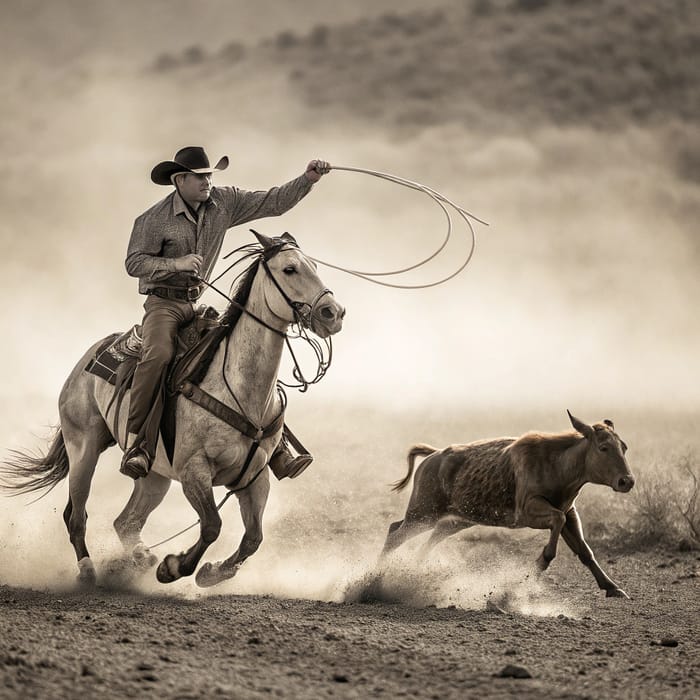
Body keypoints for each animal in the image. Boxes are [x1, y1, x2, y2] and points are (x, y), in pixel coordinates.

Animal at [382, 412, 636, 600]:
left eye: (624, 447)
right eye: (603, 447)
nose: (627, 481)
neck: (557, 466)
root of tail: (433, 455)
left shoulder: (569, 512)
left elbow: (584, 551)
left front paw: (612, 587)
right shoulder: (528, 511)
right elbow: (556, 524)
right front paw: (538, 565)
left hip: (455, 519)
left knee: (426, 537)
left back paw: (413, 571)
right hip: (423, 513)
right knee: (395, 533)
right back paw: (377, 578)